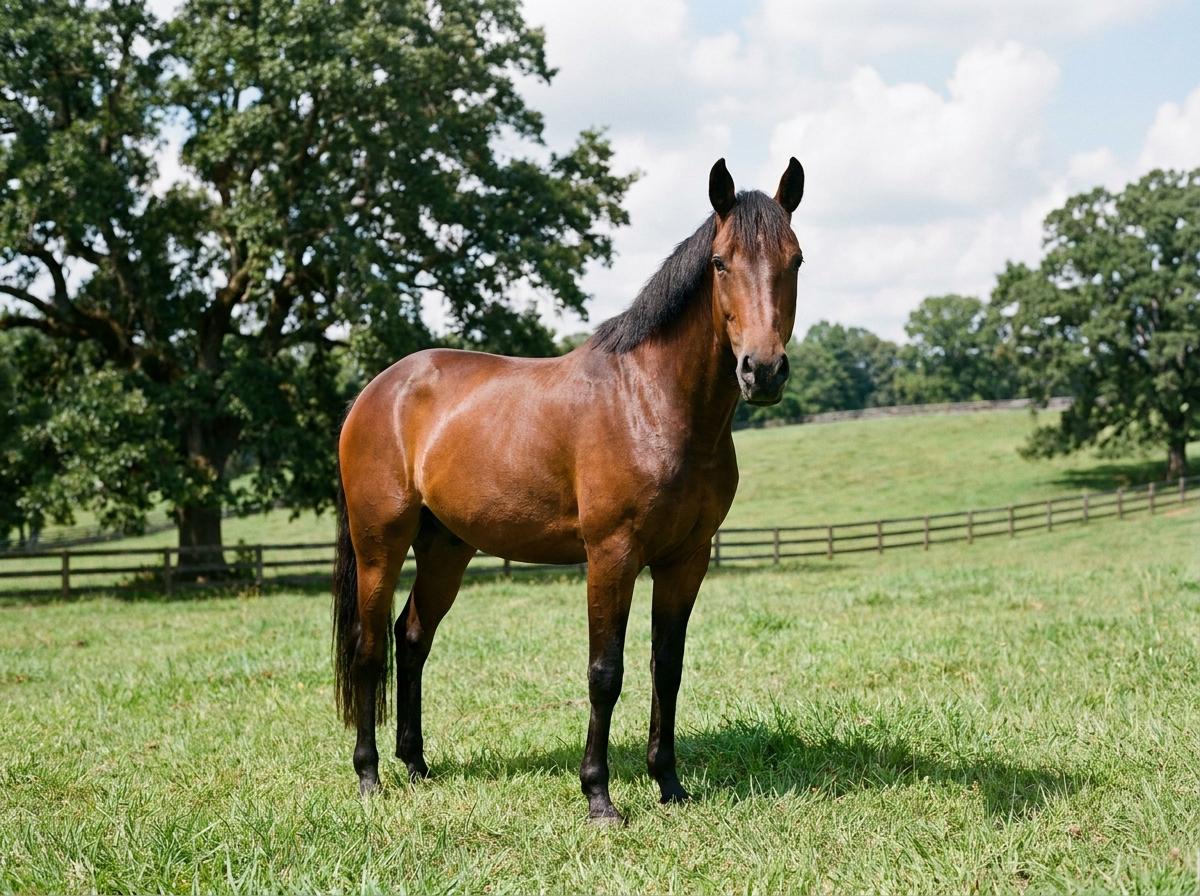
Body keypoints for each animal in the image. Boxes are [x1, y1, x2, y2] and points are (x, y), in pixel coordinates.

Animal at [332, 157, 805, 823]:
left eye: (796, 260)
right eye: (720, 262)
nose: (762, 371)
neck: (652, 403)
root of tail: (374, 392)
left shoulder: (685, 560)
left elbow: (668, 667)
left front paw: (669, 784)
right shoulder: (611, 555)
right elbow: (605, 672)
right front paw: (599, 796)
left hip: (446, 548)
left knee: (413, 639)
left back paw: (417, 766)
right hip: (380, 545)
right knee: (371, 649)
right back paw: (370, 776)